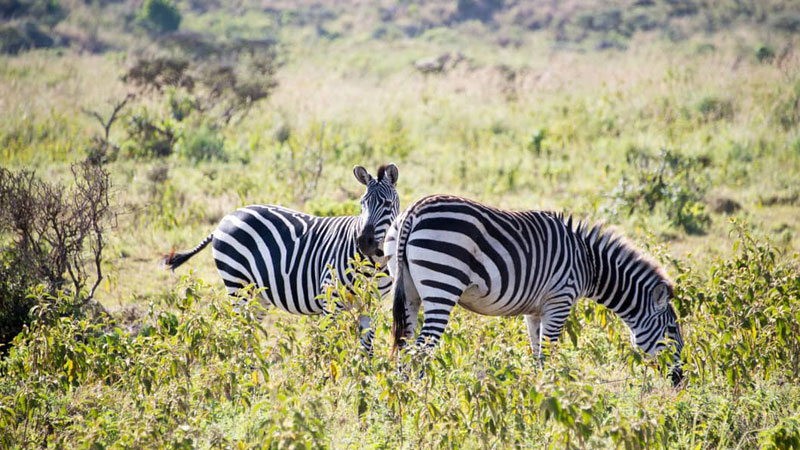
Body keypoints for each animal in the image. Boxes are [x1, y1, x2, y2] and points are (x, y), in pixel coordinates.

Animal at [162, 163, 400, 356]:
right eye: (362, 204)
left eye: (387, 204)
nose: (363, 241)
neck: (374, 263)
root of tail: (228, 216)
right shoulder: (330, 298)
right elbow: (332, 346)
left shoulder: (371, 303)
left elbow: (367, 348)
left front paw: (364, 377)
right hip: (237, 284)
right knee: (239, 334)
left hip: (257, 296)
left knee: (249, 335)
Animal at [385, 194, 684, 385]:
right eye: (672, 330)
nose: (680, 381)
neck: (588, 262)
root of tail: (413, 211)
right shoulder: (559, 301)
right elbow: (549, 354)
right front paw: (550, 392)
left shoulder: (535, 311)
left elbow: (537, 354)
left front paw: (537, 391)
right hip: (442, 286)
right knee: (420, 349)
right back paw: (421, 396)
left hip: (408, 291)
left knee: (404, 346)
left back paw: (401, 396)